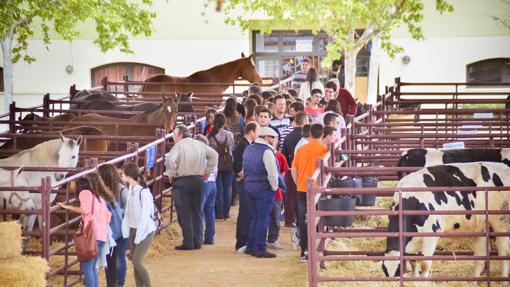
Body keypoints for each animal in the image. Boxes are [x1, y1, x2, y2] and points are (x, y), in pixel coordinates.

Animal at [382, 163, 510, 280]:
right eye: (385, 271)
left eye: (399, 271)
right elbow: (414, 262)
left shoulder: (431, 235)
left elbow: (425, 264)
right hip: (480, 227)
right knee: (480, 256)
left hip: (500, 221)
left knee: (504, 250)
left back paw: (503, 279)